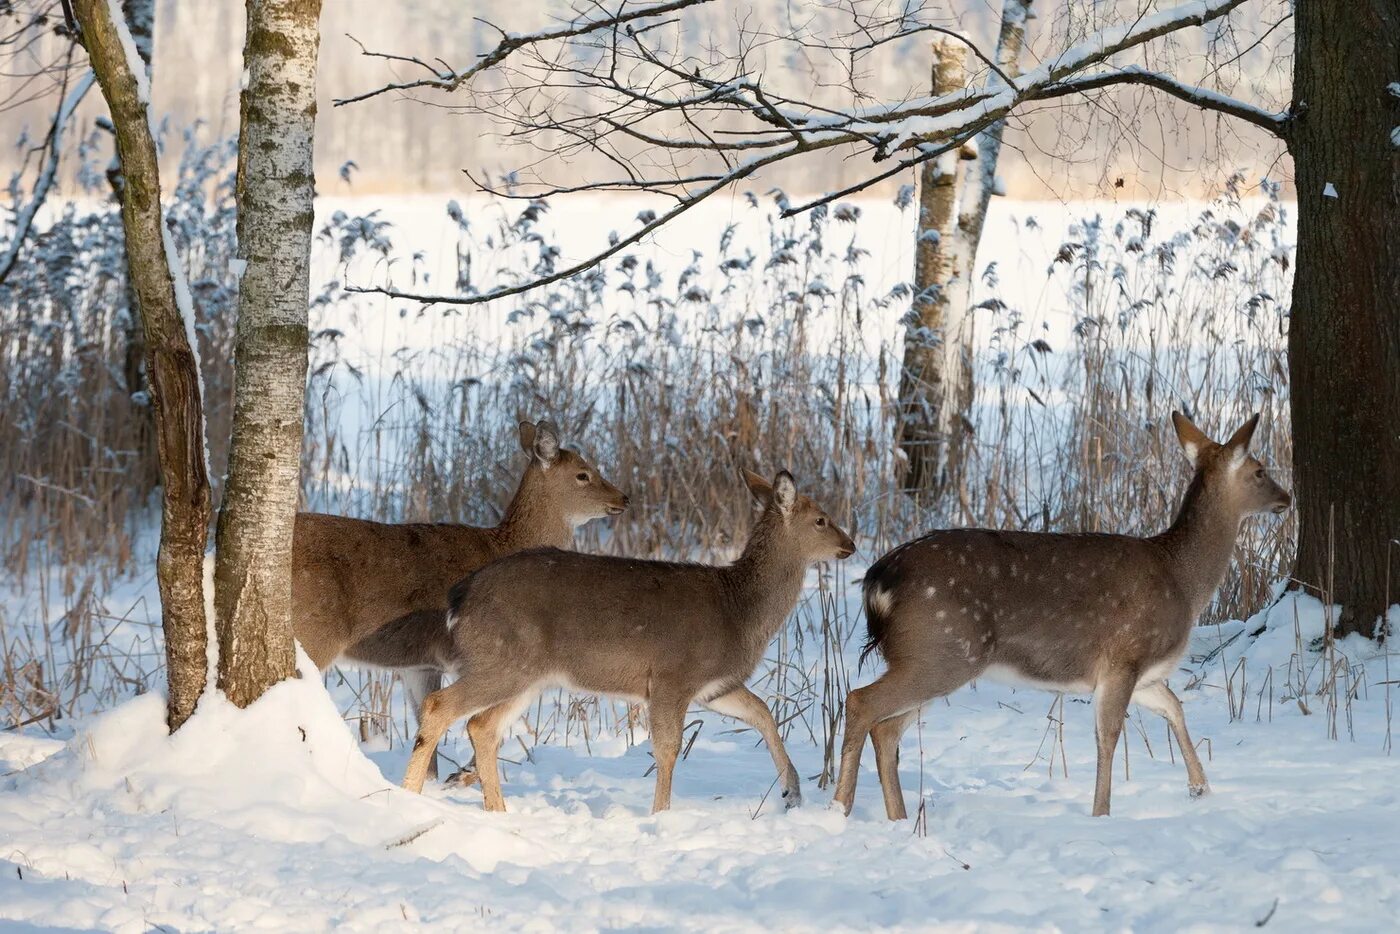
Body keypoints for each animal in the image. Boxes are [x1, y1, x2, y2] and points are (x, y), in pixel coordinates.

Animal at [292, 420, 627, 778]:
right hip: (316, 632)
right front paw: (462, 777)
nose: (623, 497)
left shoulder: (421, 663)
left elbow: (425, 724)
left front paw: (436, 782)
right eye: (583, 474)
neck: (504, 543)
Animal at [397, 470, 851, 812]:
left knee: (482, 725)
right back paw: (409, 797)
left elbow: (762, 712)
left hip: (526, 674)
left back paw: (496, 810)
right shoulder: (672, 677)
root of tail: (460, 598)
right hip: (504, 660)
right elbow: (668, 748)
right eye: (821, 519)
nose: (850, 544)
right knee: (439, 705)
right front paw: (660, 815)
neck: (739, 609)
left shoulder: (713, 686)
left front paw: (792, 792)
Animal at [828, 411, 1288, 823]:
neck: (1183, 580)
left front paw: (1200, 790)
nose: (1287, 498)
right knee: (861, 701)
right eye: (1260, 470)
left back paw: (898, 818)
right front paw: (1101, 813)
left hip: (931, 657)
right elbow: (1109, 736)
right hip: (941, 650)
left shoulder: (1143, 674)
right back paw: (840, 810)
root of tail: (877, 581)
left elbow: (1174, 708)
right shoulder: (1126, 655)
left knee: (886, 728)